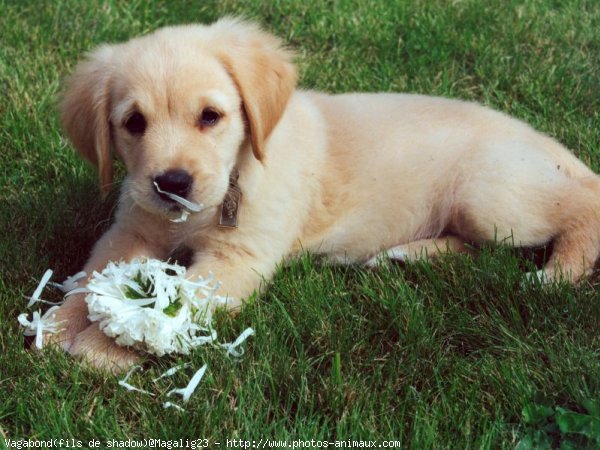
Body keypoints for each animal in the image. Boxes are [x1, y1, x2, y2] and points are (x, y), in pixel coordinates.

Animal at [50, 16, 600, 370]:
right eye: (133, 123)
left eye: (210, 116)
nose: (171, 184)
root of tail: (562, 154)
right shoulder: (131, 228)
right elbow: (95, 275)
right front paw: (60, 322)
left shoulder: (237, 259)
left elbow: (173, 302)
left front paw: (108, 346)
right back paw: (406, 255)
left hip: (491, 197)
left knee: (584, 206)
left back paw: (556, 274)